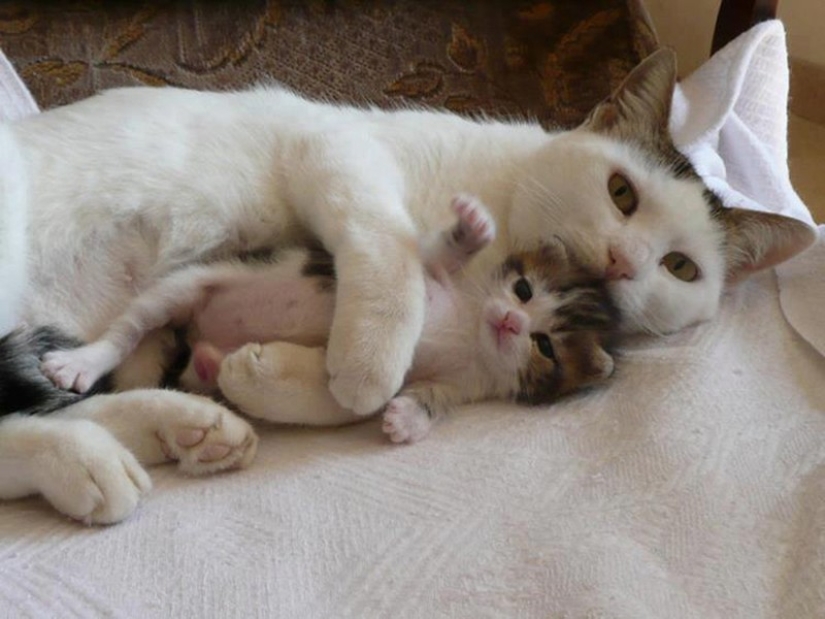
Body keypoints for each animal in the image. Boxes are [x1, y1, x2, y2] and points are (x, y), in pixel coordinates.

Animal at [38, 196, 616, 444]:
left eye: (545, 345)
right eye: (523, 289)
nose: (512, 323)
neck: (471, 333)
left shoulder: (463, 383)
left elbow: (434, 397)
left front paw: (407, 419)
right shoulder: (427, 275)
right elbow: (435, 253)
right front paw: (472, 228)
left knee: (193, 367)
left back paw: (207, 363)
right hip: (187, 284)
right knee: (128, 329)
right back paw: (79, 364)